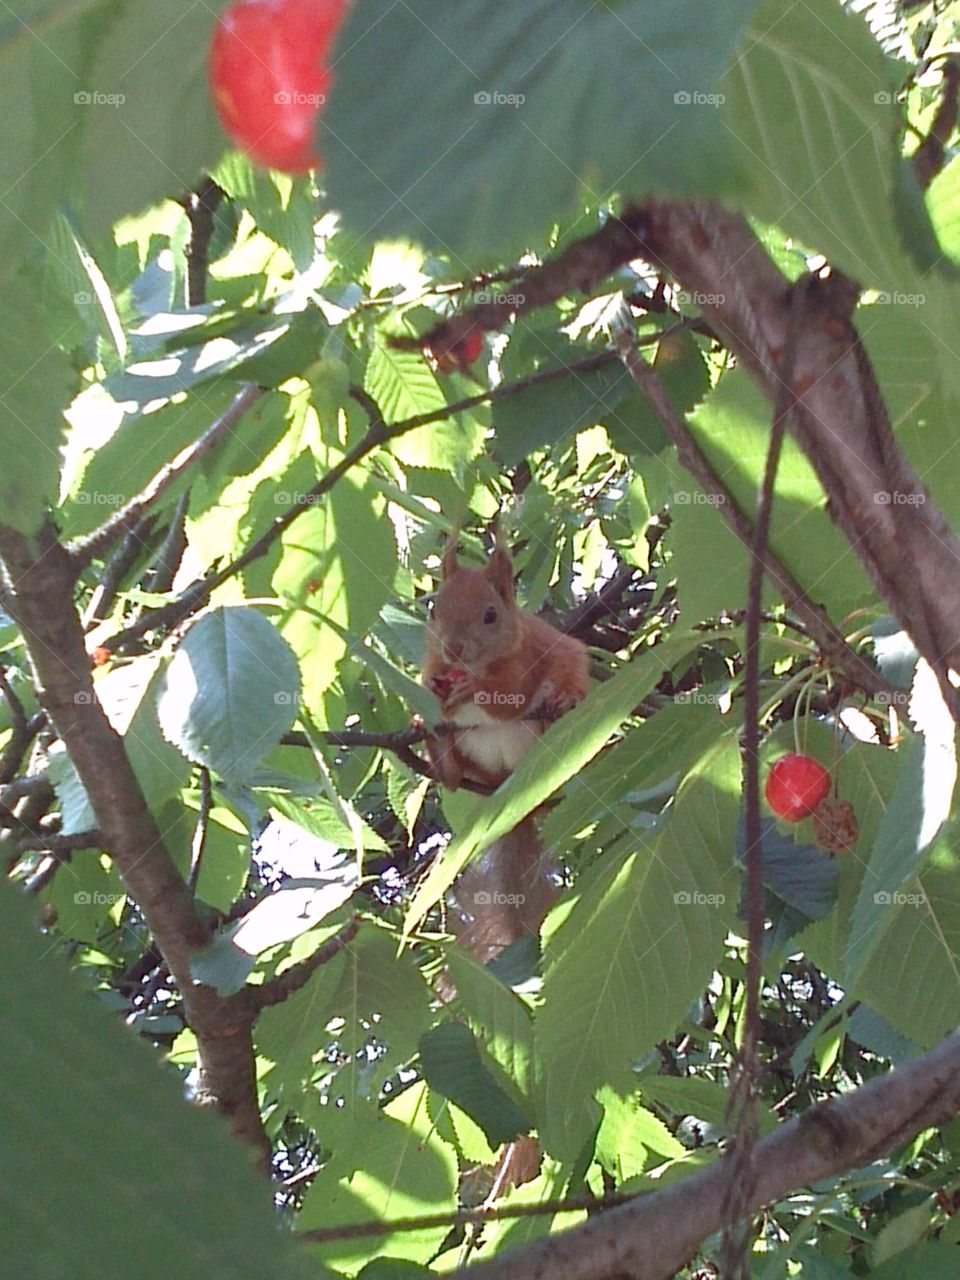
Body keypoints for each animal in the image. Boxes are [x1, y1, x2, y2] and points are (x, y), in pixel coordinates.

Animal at [424, 537, 591, 962]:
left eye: (491, 615)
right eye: (434, 608)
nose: (453, 649)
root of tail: (510, 785)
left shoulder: (527, 657)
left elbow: (510, 697)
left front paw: (475, 689)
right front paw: (432, 694)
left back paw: (562, 705)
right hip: (473, 763)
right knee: (453, 779)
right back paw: (437, 748)